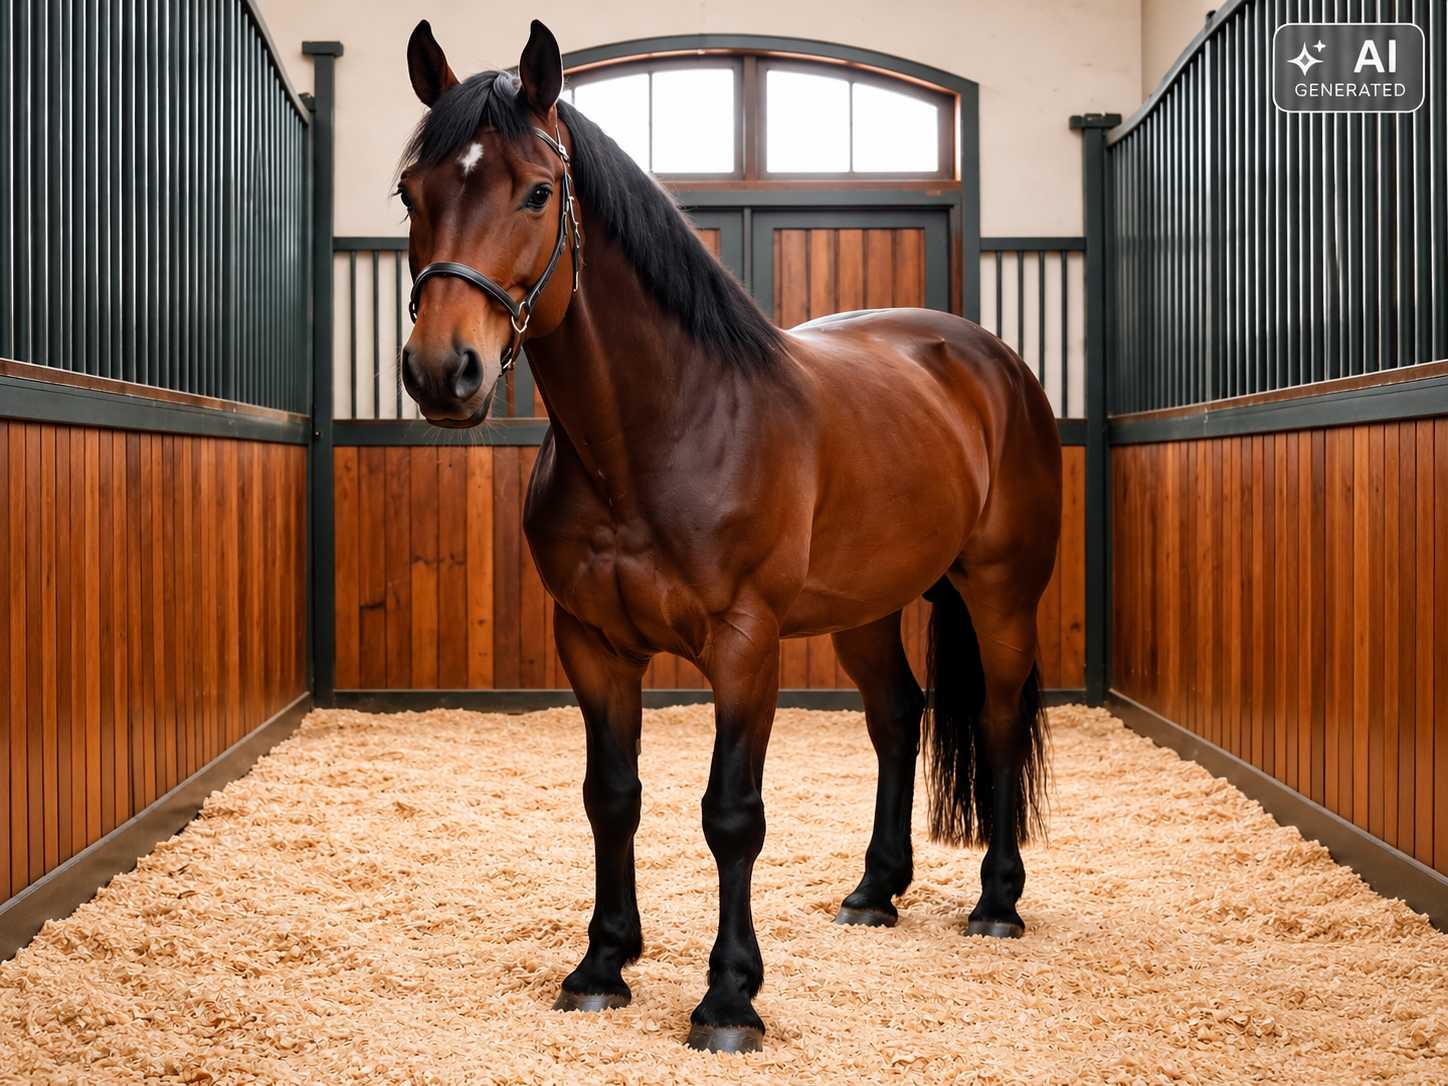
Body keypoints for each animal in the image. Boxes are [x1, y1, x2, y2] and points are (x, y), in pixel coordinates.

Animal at [396, 19, 1061, 1053]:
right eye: (411, 193)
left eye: (537, 191)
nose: (442, 371)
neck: (660, 431)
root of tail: (993, 362)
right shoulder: (592, 643)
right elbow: (611, 796)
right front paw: (602, 965)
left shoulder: (745, 646)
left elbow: (731, 815)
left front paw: (729, 998)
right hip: (865, 610)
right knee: (897, 717)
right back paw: (875, 891)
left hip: (999, 594)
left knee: (992, 720)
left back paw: (996, 902)